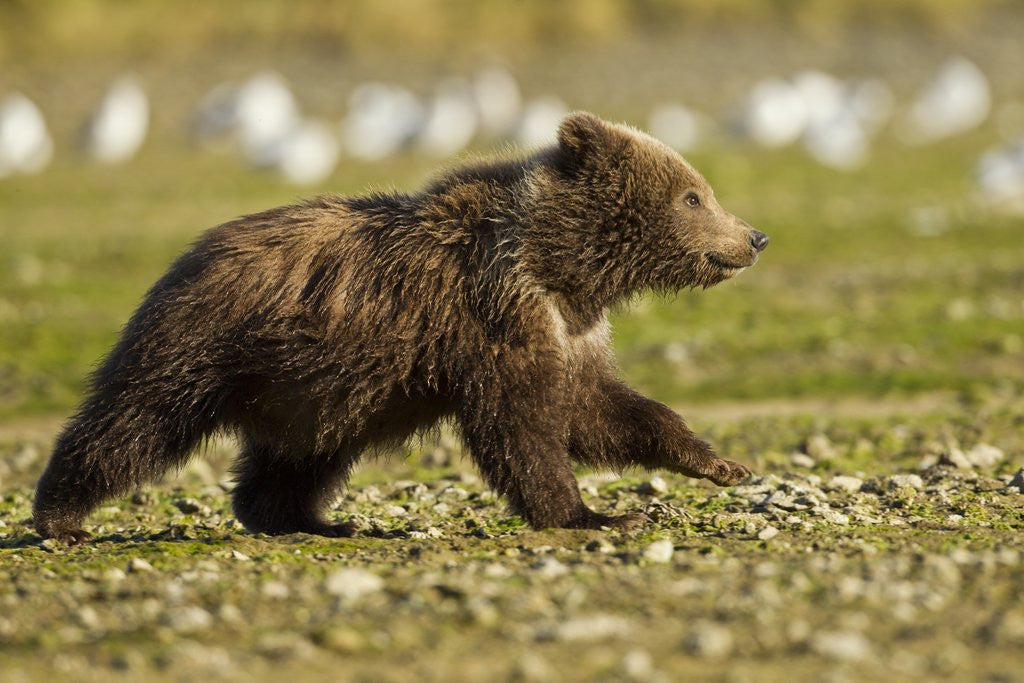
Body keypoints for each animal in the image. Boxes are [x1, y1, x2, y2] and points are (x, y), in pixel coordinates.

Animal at [33, 112, 768, 543]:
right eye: (693, 195)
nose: (754, 235)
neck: (558, 263)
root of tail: (188, 254)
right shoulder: (494, 314)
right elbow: (524, 422)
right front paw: (591, 512)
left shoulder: (572, 325)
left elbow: (600, 407)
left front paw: (719, 462)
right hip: (203, 343)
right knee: (134, 420)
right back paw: (60, 515)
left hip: (311, 387)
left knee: (298, 457)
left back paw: (314, 520)